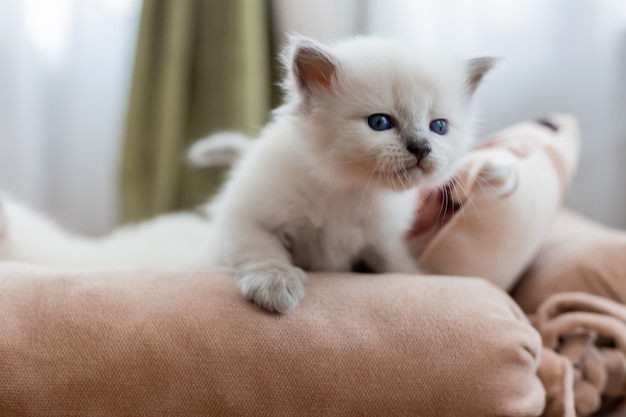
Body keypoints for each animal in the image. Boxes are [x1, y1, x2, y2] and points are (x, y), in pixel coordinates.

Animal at [206, 36, 492, 312]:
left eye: (439, 127)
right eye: (380, 122)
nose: (422, 148)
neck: (352, 189)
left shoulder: (381, 241)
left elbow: (397, 266)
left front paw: (417, 276)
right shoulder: (246, 216)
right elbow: (263, 251)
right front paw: (276, 286)